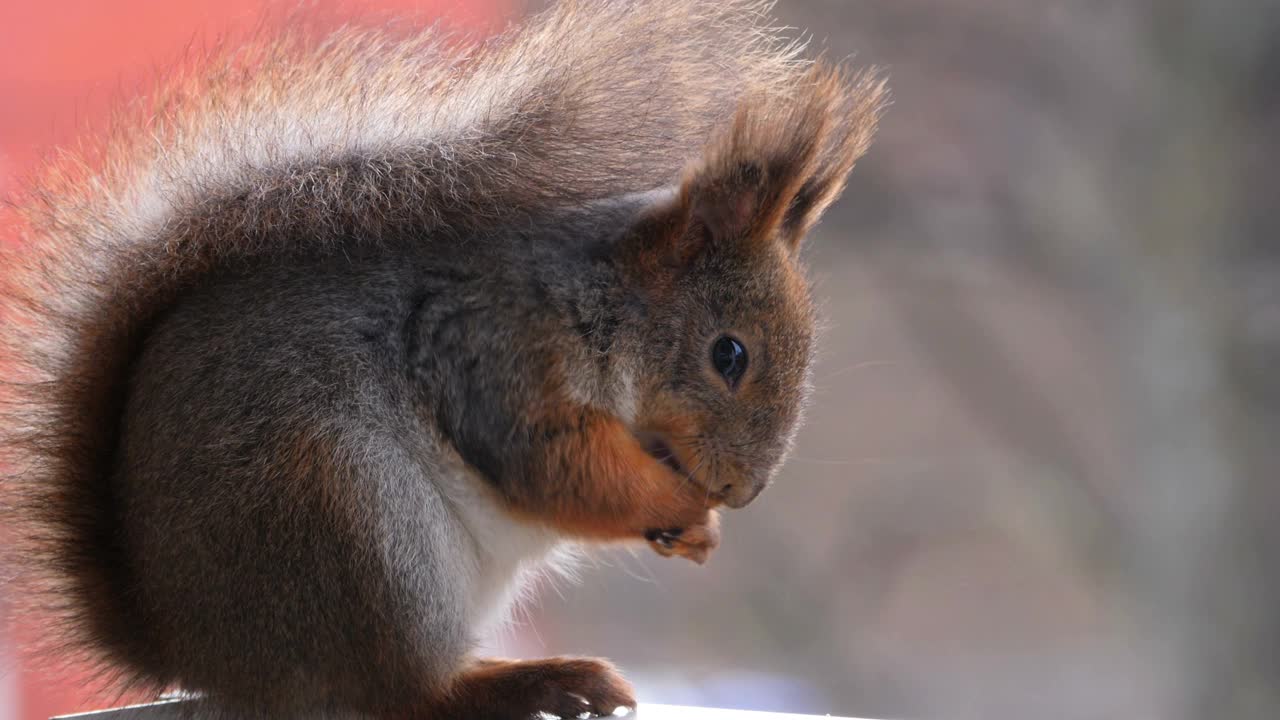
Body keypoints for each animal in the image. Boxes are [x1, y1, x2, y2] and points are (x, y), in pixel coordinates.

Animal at [0, 1, 880, 717]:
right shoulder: (497, 356)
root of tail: (192, 649)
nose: (743, 491)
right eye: (729, 354)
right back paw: (534, 682)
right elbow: (556, 469)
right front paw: (681, 505)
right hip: (356, 524)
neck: (605, 301)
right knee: (399, 691)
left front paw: (696, 533)